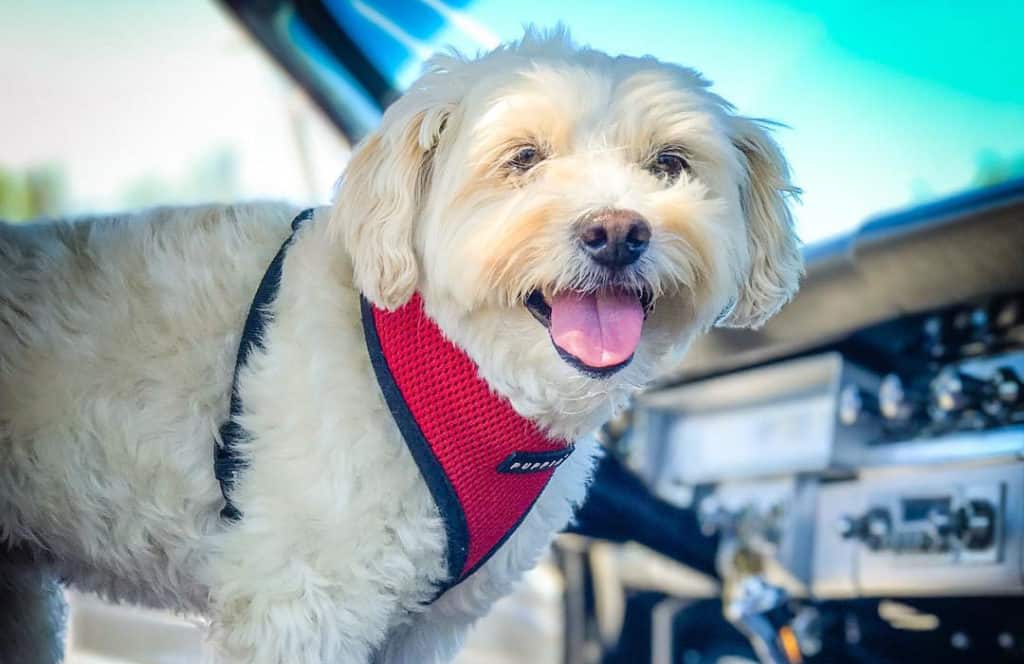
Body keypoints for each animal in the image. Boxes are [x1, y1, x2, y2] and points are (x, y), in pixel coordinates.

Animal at [0, 29, 798, 664]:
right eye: (523, 159)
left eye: (669, 163)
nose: (617, 232)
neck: (463, 369)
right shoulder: (301, 602)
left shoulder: (419, 626)